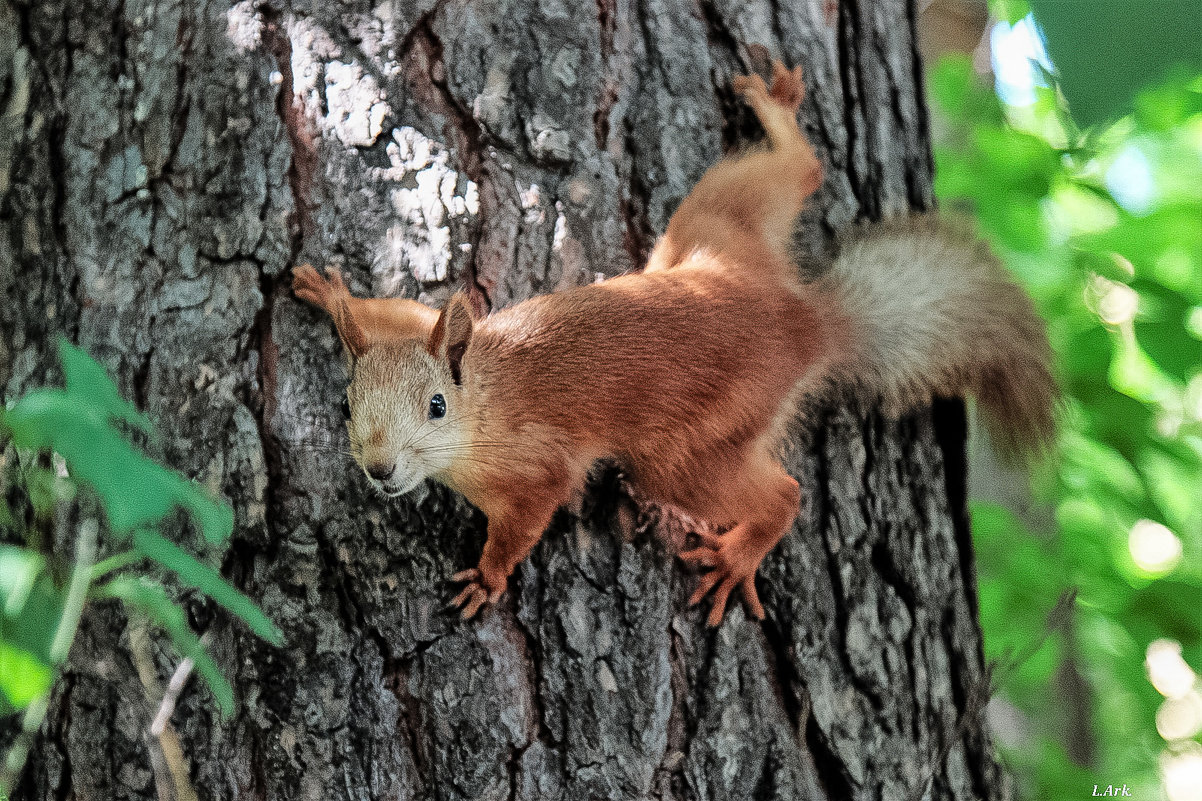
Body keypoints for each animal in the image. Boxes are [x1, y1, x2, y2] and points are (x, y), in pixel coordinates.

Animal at [295, 62, 1057, 625]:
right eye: (344, 406)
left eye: (435, 407)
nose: (379, 470)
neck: (481, 393)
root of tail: (804, 320)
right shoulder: (443, 320)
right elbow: (400, 309)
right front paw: (327, 292)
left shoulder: (535, 468)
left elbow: (527, 517)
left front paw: (488, 576)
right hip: (713, 233)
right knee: (796, 175)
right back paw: (776, 108)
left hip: (687, 449)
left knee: (780, 492)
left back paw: (738, 557)